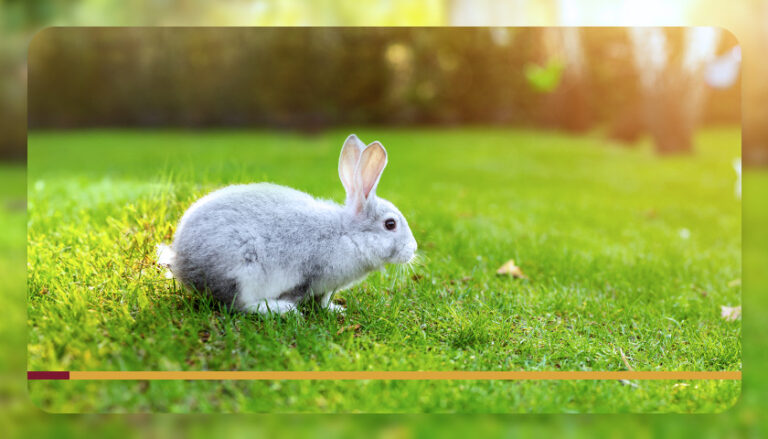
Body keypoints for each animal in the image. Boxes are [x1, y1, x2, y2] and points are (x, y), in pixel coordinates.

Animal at [157, 134, 417, 314]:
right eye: (390, 224)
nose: (413, 249)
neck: (347, 234)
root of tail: (181, 262)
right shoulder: (313, 278)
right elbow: (309, 296)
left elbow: (323, 301)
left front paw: (336, 309)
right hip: (243, 272)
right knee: (239, 304)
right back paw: (281, 310)